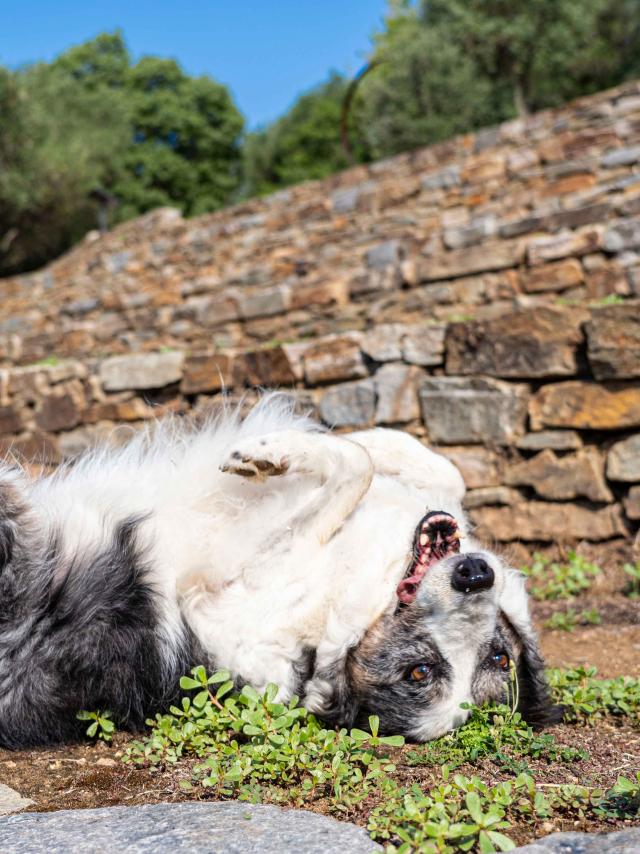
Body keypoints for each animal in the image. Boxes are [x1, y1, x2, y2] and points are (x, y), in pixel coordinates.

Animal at [0, 396, 556, 748]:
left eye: (416, 671)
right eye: (501, 657)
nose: (475, 576)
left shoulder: (230, 582)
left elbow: (354, 470)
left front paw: (273, 454)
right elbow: (434, 469)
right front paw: (368, 440)